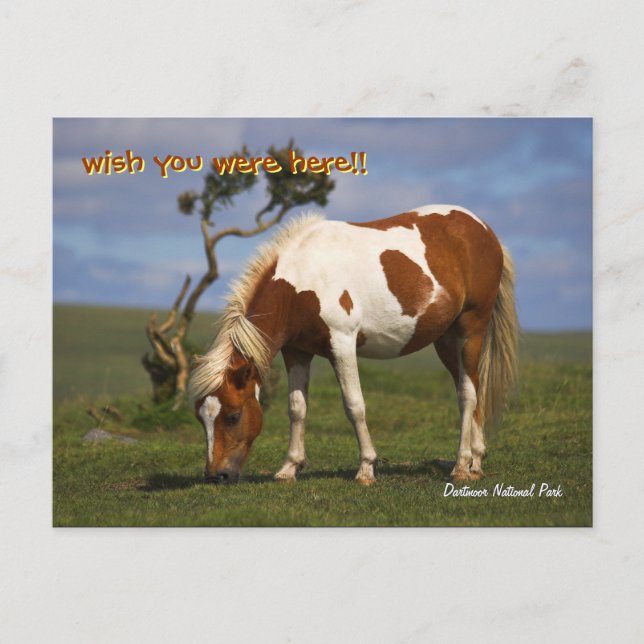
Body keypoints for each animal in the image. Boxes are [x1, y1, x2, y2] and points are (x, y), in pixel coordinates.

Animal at [188, 204, 518, 485]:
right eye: (200, 417)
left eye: (233, 416)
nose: (216, 476)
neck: (302, 280)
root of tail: (484, 230)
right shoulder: (296, 351)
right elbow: (297, 407)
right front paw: (289, 468)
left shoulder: (342, 344)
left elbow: (354, 405)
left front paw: (366, 469)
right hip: (447, 340)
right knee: (472, 386)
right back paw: (476, 462)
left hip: (471, 328)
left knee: (467, 396)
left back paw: (461, 466)